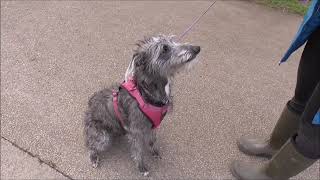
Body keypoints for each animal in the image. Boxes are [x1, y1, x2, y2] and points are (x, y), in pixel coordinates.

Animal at [84, 34, 201, 176]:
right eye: (164, 49)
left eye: (174, 41)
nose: (196, 49)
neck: (145, 93)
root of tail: (89, 108)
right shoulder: (136, 131)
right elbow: (138, 151)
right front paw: (142, 167)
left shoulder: (152, 126)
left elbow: (152, 140)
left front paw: (154, 152)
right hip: (102, 136)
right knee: (91, 144)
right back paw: (93, 157)